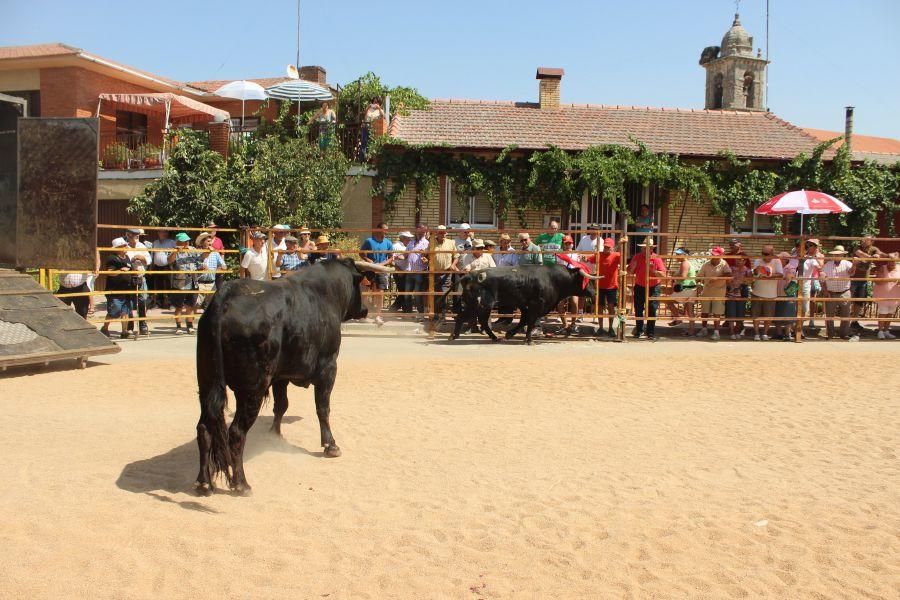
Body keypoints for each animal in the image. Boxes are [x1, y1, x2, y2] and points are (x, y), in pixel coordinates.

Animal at [193, 255, 390, 494]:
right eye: (360, 285)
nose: (364, 310)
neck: (325, 293)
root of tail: (222, 301)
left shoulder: (281, 376)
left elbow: (281, 405)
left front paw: (274, 434)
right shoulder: (328, 367)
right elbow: (323, 408)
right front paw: (330, 444)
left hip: (206, 385)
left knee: (204, 428)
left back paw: (204, 482)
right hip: (251, 390)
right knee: (236, 433)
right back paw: (241, 483)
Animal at [440, 266, 600, 344]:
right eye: (586, 281)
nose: (595, 293)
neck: (554, 279)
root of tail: (470, 275)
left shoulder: (525, 306)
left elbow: (524, 320)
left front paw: (510, 334)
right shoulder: (536, 305)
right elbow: (529, 322)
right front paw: (528, 339)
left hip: (483, 307)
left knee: (482, 321)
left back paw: (494, 337)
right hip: (480, 305)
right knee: (463, 317)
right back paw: (454, 336)